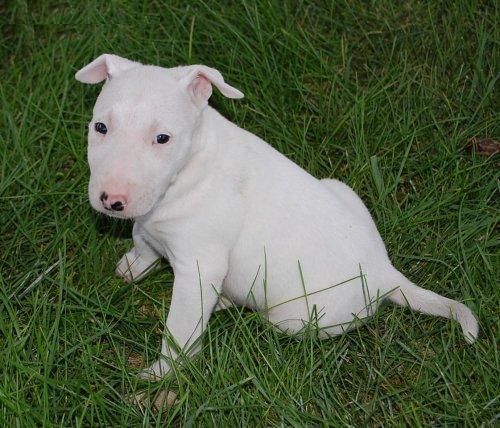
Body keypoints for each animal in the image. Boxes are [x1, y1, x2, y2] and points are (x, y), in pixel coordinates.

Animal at [76, 55, 478, 380]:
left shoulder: (199, 267)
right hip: (341, 189)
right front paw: (131, 267)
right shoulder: (148, 223)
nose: (112, 201)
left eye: (163, 138)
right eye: (100, 127)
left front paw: (161, 374)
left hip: (297, 318)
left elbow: (182, 327)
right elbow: (142, 241)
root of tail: (384, 273)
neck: (189, 168)